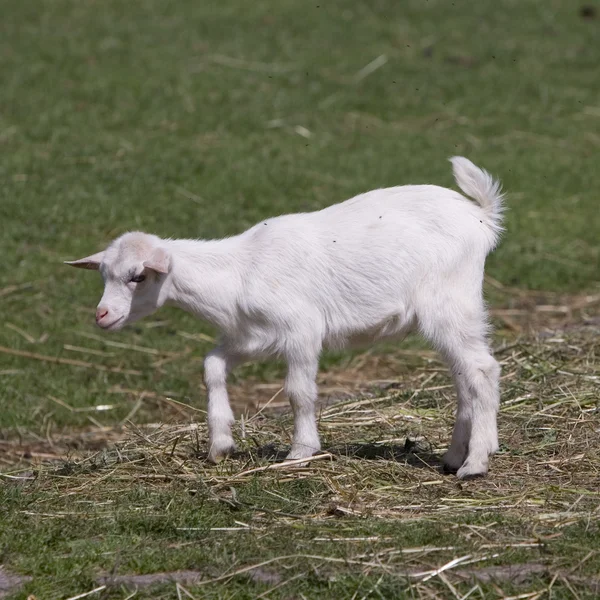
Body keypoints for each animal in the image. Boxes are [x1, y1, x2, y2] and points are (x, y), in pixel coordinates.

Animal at [65, 157, 504, 480]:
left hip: (449, 302)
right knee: (465, 377)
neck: (238, 272)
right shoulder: (250, 338)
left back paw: (475, 463)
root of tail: (481, 217)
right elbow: (211, 366)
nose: (102, 315)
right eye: (103, 274)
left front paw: (301, 452)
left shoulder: (301, 329)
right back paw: (455, 456)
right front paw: (220, 444)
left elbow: (298, 392)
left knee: (482, 370)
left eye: (138, 276)